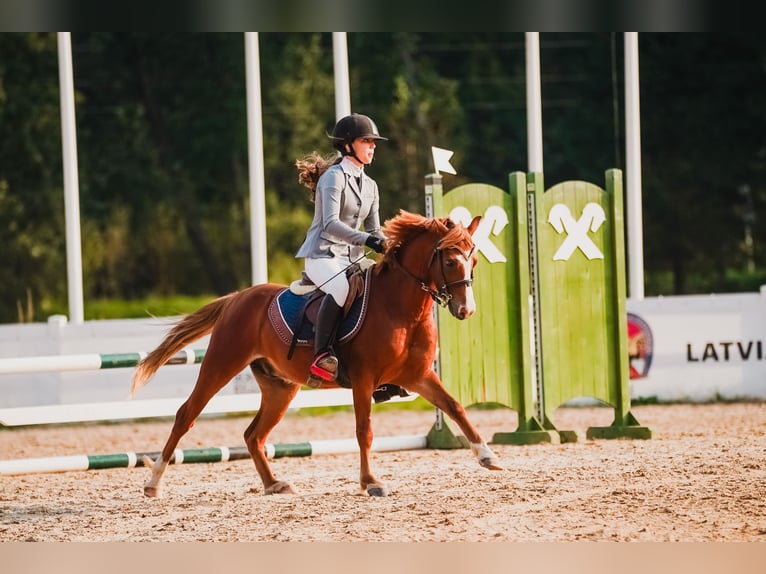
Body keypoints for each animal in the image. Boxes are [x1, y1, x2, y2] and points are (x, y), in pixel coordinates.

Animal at [132, 212, 504, 500]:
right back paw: (153, 484)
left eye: (474, 261)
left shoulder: (419, 376)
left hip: (280, 388)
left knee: (253, 434)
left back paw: (274, 484)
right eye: (451, 261)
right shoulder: (364, 379)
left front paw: (488, 456)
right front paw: (370, 482)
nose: (466, 310)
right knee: (186, 415)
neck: (402, 310)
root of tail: (237, 298)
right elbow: (364, 430)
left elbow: (454, 406)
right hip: (220, 364)